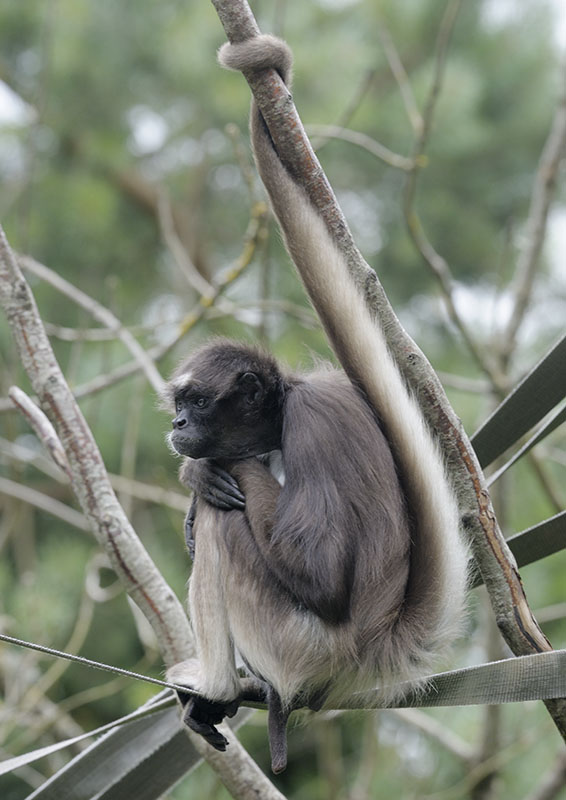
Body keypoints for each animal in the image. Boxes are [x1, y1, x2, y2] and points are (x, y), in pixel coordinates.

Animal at [164, 35, 468, 773]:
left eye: (197, 403)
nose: (180, 426)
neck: (281, 415)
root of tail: (370, 647)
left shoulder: (311, 423)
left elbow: (320, 573)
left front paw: (204, 472)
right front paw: (196, 472)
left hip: (297, 641)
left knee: (226, 527)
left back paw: (216, 682)